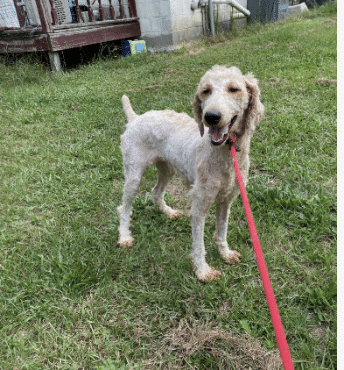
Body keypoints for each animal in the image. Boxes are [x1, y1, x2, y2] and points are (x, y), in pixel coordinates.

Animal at [116, 66, 264, 280]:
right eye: (205, 91)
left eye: (234, 89)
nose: (211, 117)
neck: (225, 153)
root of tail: (135, 118)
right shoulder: (199, 205)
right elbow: (199, 245)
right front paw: (203, 271)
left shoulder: (225, 201)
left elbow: (222, 232)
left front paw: (225, 253)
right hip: (134, 174)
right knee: (124, 208)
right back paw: (125, 236)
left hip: (167, 169)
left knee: (155, 192)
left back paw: (168, 212)